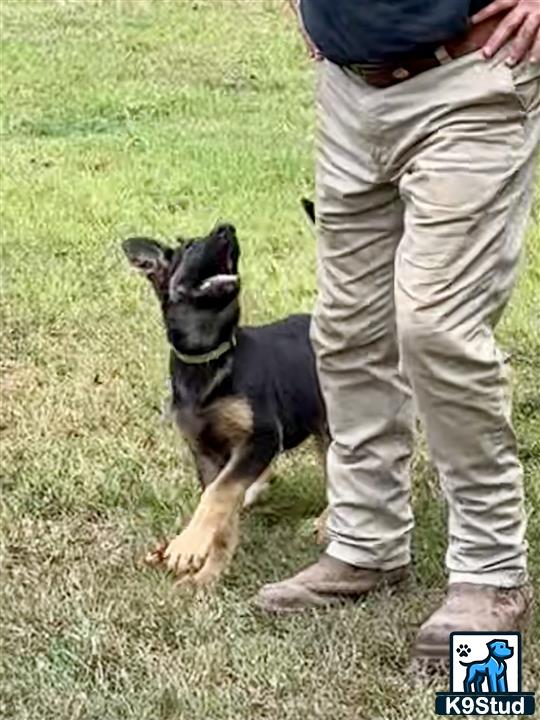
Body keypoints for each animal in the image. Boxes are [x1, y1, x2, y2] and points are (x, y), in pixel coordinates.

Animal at [122, 221, 326, 584]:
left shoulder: (262, 436)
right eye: (189, 247)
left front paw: (187, 546)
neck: (208, 357)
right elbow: (221, 509)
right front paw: (208, 575)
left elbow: (217, 495)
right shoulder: (206, 452)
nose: (226, 227)